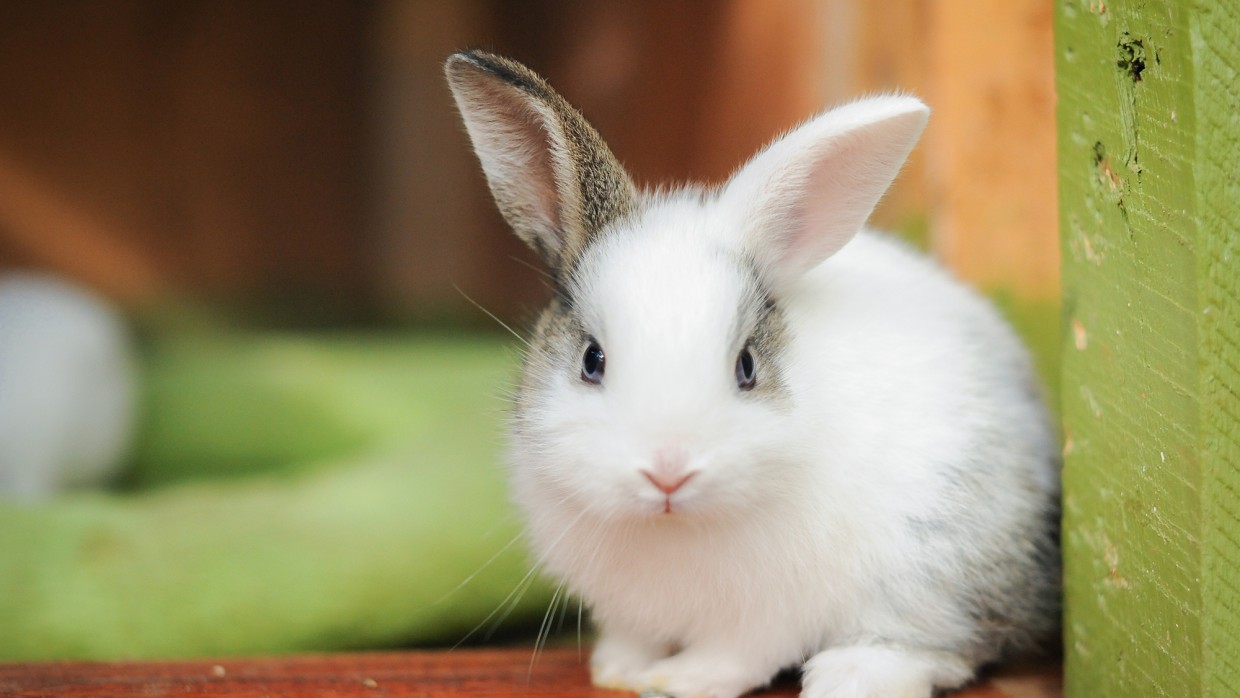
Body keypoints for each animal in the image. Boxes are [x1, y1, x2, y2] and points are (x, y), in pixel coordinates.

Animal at [445, 50, 1059, 698]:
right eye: (593, 360)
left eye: (746, 366)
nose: (668, 472)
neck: (673, 527)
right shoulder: (628, 610)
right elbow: (634, 637)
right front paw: (617, 671)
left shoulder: (768, 617)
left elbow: (736, 656)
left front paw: (674, 681)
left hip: (937, 566)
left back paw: (849, 677)